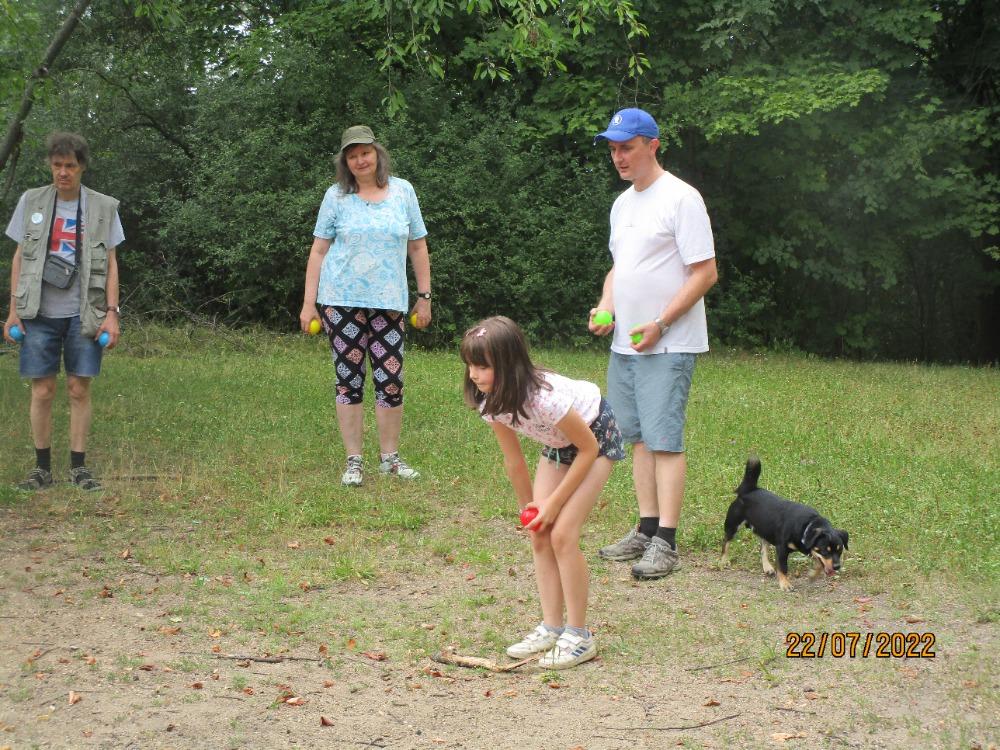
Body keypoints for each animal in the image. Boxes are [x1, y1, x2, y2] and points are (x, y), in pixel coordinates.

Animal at [720, 458, 852, 592]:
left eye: (840, 550)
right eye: (826, 551)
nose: (837, 566)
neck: (806, 526)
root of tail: (749, 490)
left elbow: (820, 564)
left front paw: (813, 575)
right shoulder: (782, 549)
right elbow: (783, 568)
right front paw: (785, 584)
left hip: (765, 529)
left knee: (763, 548)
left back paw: (767, 567)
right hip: (732, 525)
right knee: (726, 542)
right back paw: (723, 561)